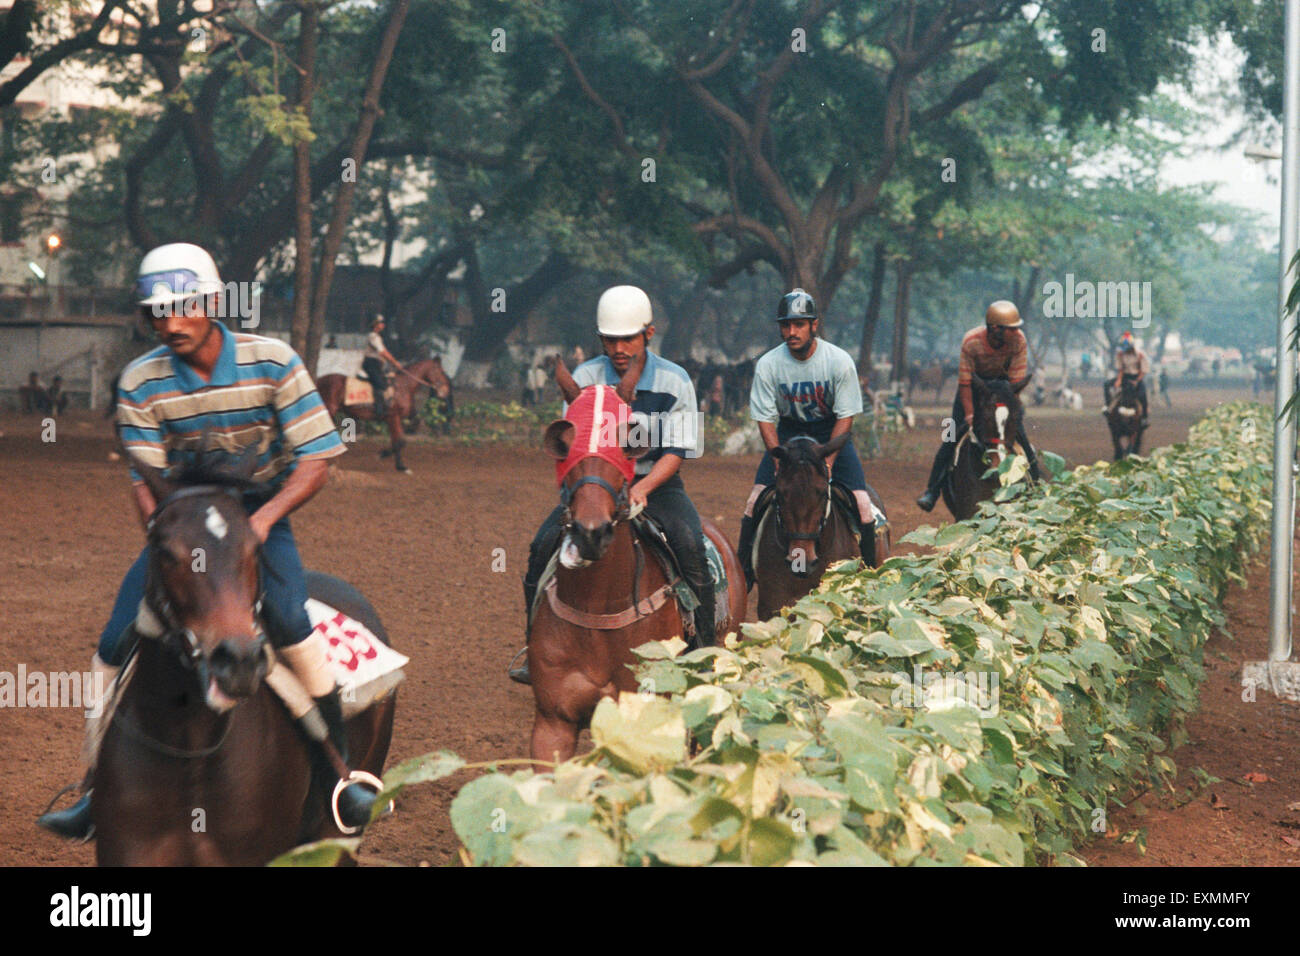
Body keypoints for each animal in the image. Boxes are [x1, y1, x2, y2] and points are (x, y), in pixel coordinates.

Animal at [317, 356, 454, 476]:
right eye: (441, 371)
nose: (446, 390)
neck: (403, 386)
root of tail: (320, 380)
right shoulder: (393, 417)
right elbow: (399, 441)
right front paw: (383, 455)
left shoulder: (396, 418)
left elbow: (399, 439)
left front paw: (400, 466)